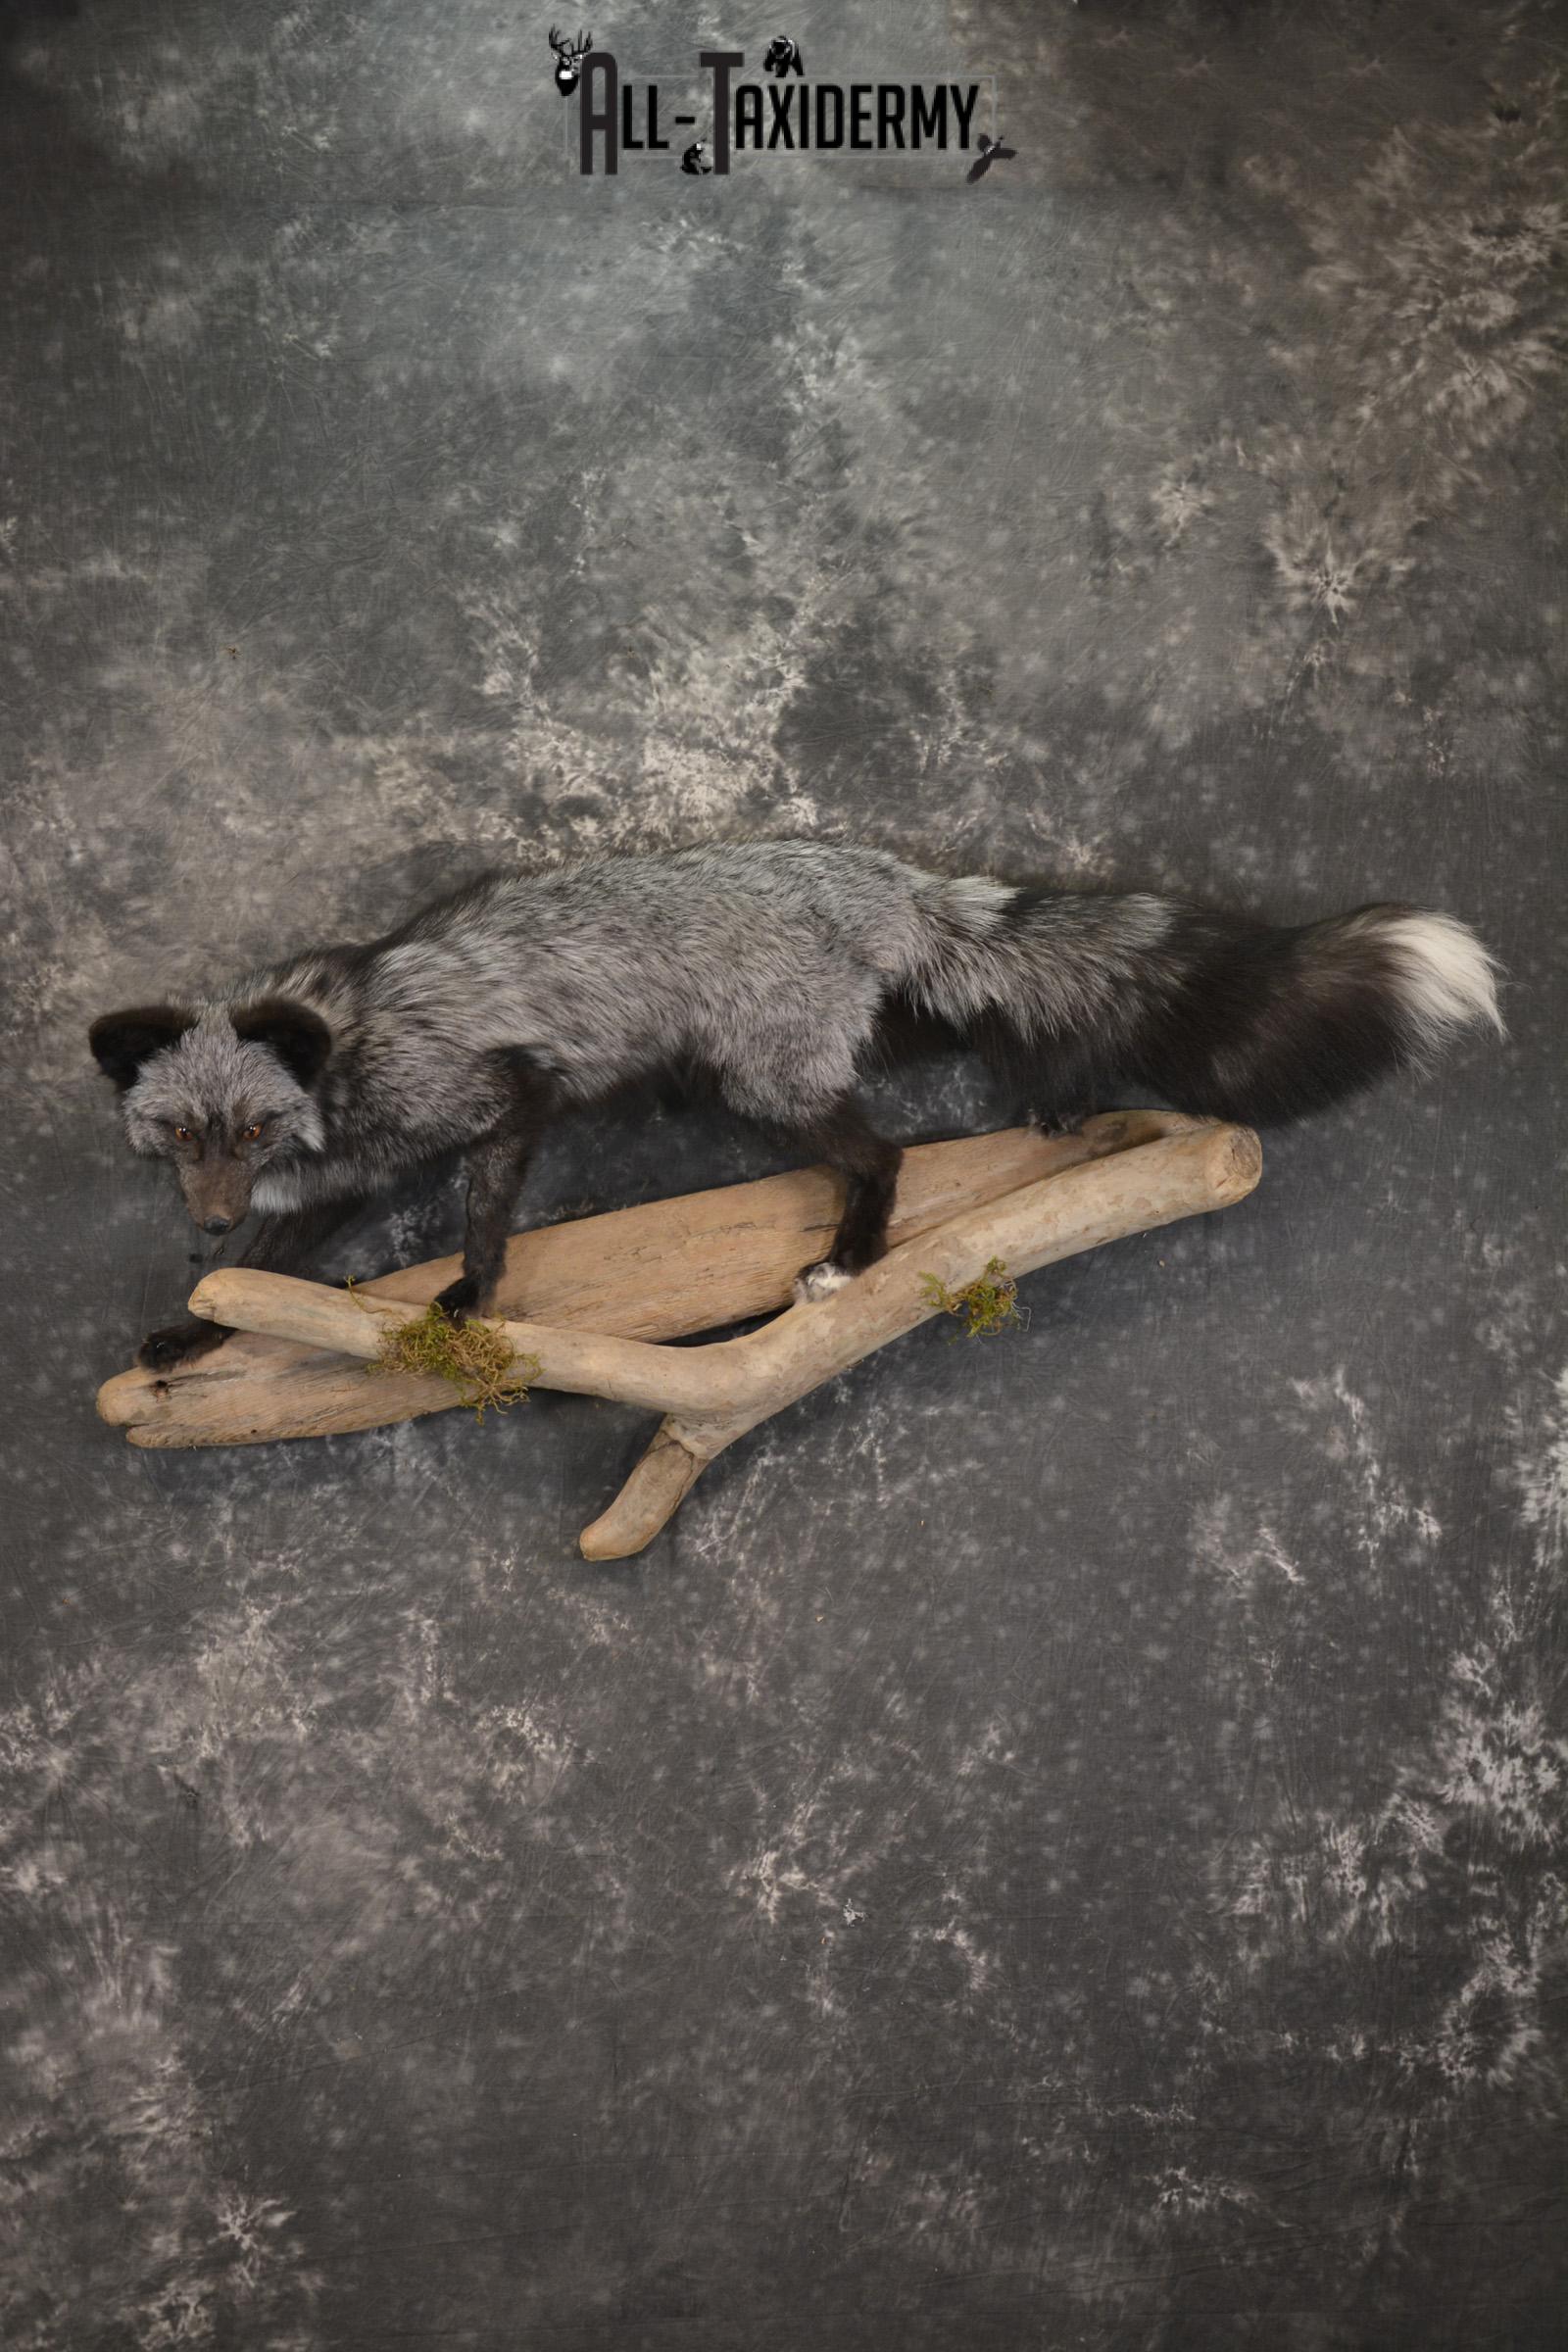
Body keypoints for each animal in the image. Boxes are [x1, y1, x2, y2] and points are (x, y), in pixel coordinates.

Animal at [89, 839, 1502, 1372]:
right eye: (182, 1135)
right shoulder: (336, 1188)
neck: (343, 1053)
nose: (201, 1218)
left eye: (251, 1126)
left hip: (762, 1077)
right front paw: (186, 1336)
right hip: (868, 1025)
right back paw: (1066, 1101)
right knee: (1018, 1015)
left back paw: (852, 1258)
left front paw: (471, 1299)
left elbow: (487, 1214)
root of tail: (872, 872)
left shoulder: (502, 1095)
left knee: (883, 1153)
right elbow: (270, 1272)